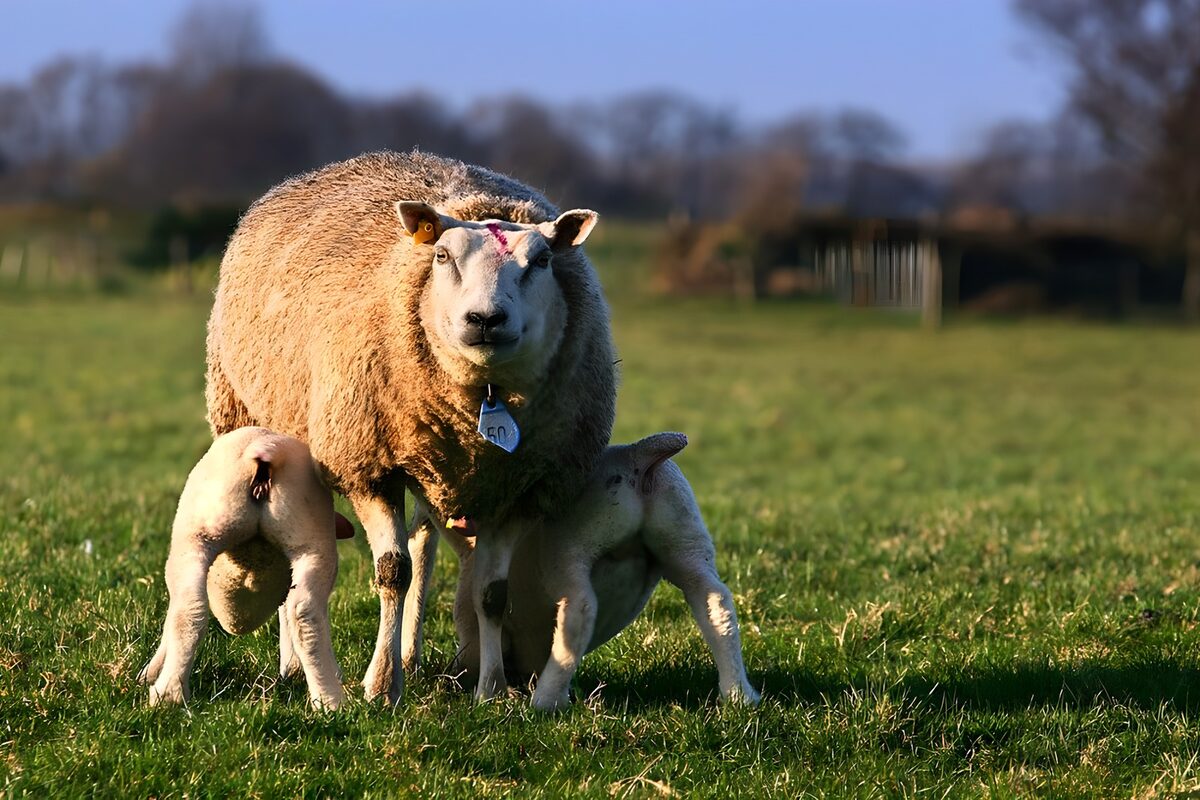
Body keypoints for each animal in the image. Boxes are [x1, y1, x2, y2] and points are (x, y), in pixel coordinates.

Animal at [138, 427, 353, 710]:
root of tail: (267, 447)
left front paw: (150, 672)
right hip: (311, 541)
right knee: (304, 612)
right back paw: (329, 700)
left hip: (195, 536)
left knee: (187, 608)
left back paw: (167, 692)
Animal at [205, 151, 617, 703]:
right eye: (442, 257)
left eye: (543, 262)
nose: (485, 319)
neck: (484, 402)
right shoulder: (368, 466)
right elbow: (392, 573)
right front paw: (381, 687)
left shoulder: (523, 487)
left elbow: (491, 591)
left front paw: (490, 689)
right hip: (251, 415)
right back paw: (295, 665)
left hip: (428, 465)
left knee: (423, 545)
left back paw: (411, 656)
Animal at [424, 432, 761, 711]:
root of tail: (635, 455)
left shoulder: (474, 638)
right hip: (685, 540)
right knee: (713, 598)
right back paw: (739, 694)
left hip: (569, 546)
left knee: (580, 606)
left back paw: (546, 700)